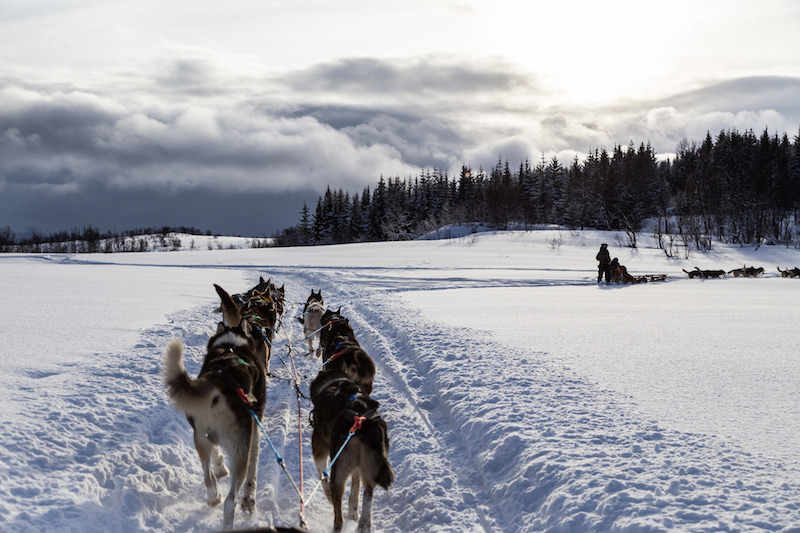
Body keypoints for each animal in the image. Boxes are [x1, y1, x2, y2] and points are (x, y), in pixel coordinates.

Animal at [163, 282, 268, 528]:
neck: (231, 346)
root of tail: (218, 381)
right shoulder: (254, 429)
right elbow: (253, 470)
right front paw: (250, 499)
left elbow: (216, 457)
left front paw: (220, 467)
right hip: (239, 449)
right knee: (230, 500)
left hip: (199, 437)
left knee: (208, 476)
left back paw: (214, 496)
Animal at [310, 370, 394, 532]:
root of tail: (362, 421)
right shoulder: (358, 468)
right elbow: (355, 486)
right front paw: (353, 510)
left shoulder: (319, 446)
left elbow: (322, 473)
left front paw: (328, 494)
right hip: (369, 466)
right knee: (367, 494)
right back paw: (364, 523)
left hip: (339, 470)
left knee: (338, 518)